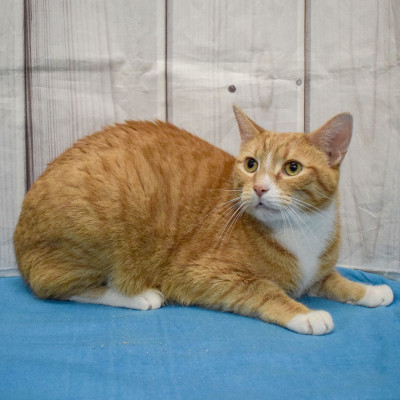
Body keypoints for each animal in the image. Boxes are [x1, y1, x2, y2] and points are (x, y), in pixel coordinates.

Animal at [13, 105, 394, 335]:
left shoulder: (317, 272)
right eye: (251, 164)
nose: (259, 188)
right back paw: (138, 295)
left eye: (292, 168)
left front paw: (370, 290)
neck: (299, 229)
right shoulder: (200, 273)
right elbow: (264, 289)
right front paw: (306, 313)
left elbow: (336, 280)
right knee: (58, 287)